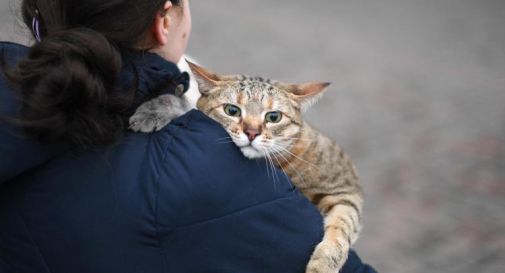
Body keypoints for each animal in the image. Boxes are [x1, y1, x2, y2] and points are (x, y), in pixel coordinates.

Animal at [128, 61, 360, 272]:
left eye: (273, 117)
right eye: (232, 110)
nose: (251, 132)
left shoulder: (346, 189)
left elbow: (343, 226)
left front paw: (323, 263)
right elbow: (186, 106)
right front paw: (154, 110)